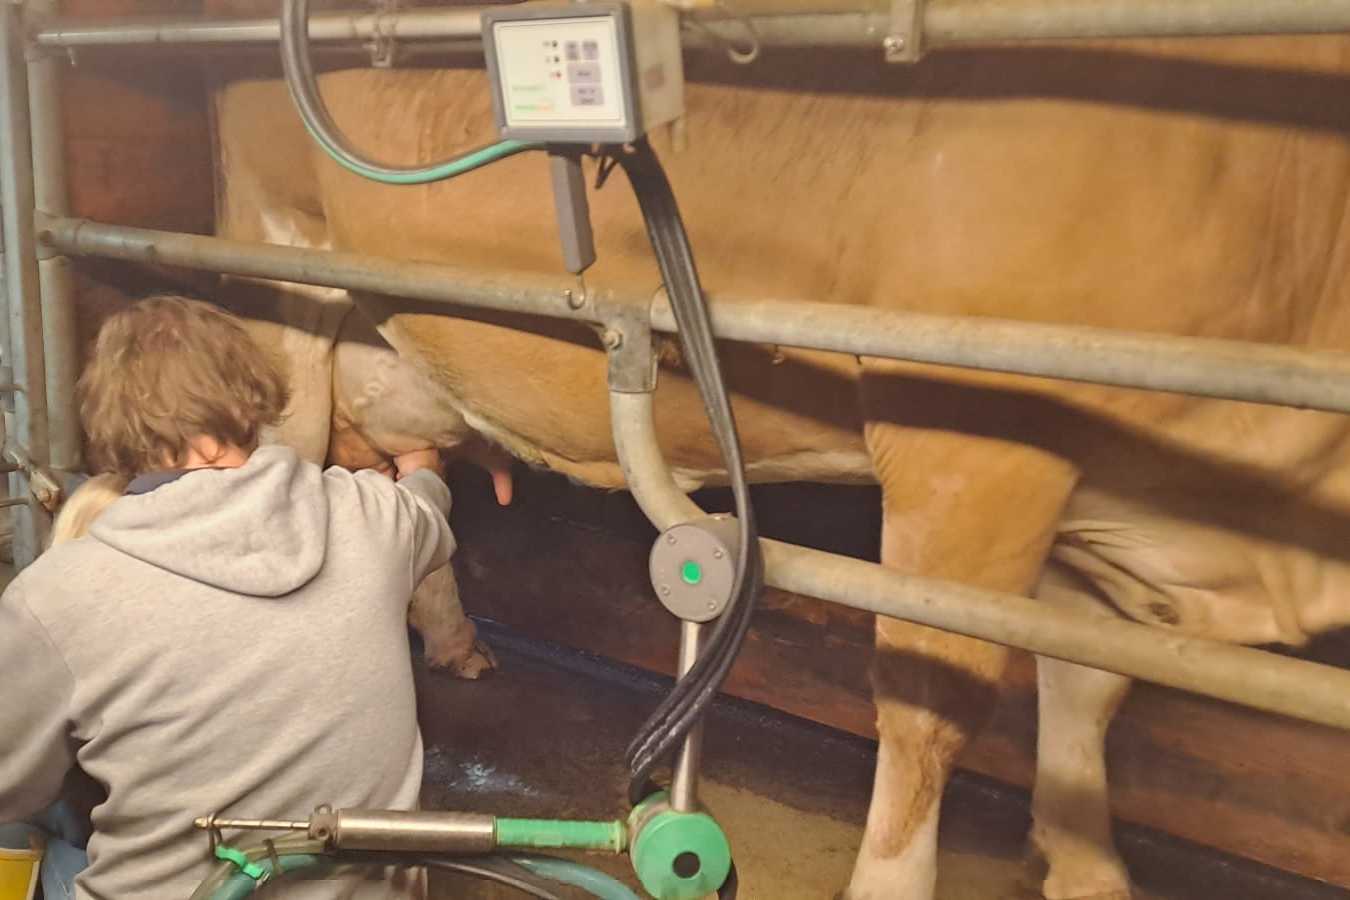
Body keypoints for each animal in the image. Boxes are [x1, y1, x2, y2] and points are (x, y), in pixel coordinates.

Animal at [197, 31, 1350, 900]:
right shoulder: (972, 451)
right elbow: (934, 708)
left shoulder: (1094, 486)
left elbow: (1086, 685)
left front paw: (1087, 866)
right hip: (280, 268)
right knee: (295, 475)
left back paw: (452, 641)